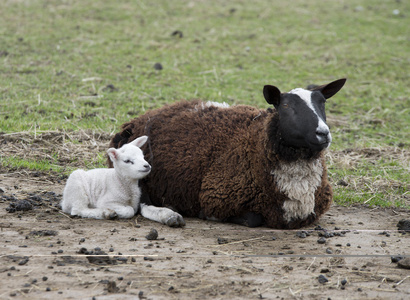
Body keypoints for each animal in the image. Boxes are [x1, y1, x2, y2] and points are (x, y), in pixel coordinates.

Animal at [108, 78, 346, 229]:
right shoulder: (216, 196)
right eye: (286, 106)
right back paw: (170, 215)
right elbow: (252, 220)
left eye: (322, 103)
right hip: (139, 172)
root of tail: (133, 123)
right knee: (142, 205)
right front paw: (207, 215)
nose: (323, 133)